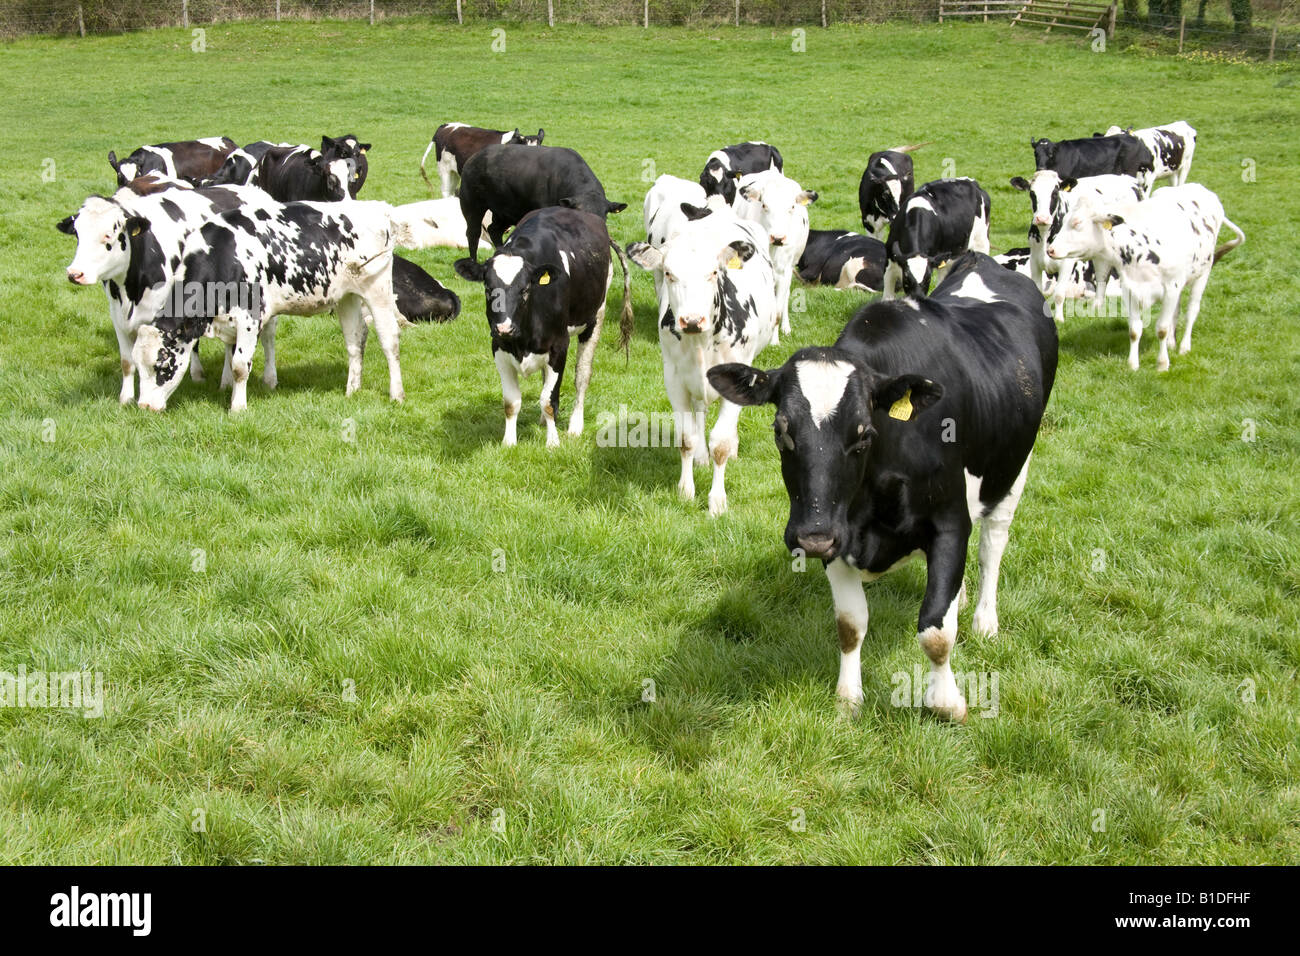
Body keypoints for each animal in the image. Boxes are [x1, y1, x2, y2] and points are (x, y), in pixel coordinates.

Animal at [452, 204, 629, 447]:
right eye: (488, 289)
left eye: (525, 290)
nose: (505, 328)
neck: (522, 341)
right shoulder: (498, 347)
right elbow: (511, 402)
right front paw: (509, 442)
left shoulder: (559, 346)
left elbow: (548, 399)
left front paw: (553, 442)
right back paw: (544, 422)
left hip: (596, 317)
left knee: (582, 375)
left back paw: (575, 425)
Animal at [457, 141, 624, 261]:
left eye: (603, 218)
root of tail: (474, 158)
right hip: (471, 205)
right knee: (473, 233)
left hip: (505, 211)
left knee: (494, 230)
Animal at [624, 206, 774, 520]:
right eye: (669, 273)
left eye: (714, 272)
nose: (692, 320)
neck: (702, 341)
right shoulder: (674, 378)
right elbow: (687, 437)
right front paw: (685, 490)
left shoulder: (739, 378)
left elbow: (722, 443)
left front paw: (717, 501)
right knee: (700, 412)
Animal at [712, 251, 1055, 723]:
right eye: (781, 431)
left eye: (863, 434)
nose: (810, 538)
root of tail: (983, 260)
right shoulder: (837, 529)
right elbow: (850, 624)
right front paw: (848, 699)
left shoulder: (948, 522)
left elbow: (935, 630)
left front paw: (948, 702)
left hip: (1015, 466)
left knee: (992, 545)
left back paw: (985, 619)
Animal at [1040, 180, 1242, 371]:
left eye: (1077, 223)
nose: (1050, 249)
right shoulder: (1131, 289)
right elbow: (1135, 330)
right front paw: (1133, 364)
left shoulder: (1170, 288)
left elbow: (1161, 329)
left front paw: (1162, 364)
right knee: (1176, 313)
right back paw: (1172, 343)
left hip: (1202, 274)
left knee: (1191, 311)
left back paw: (1184, 346)